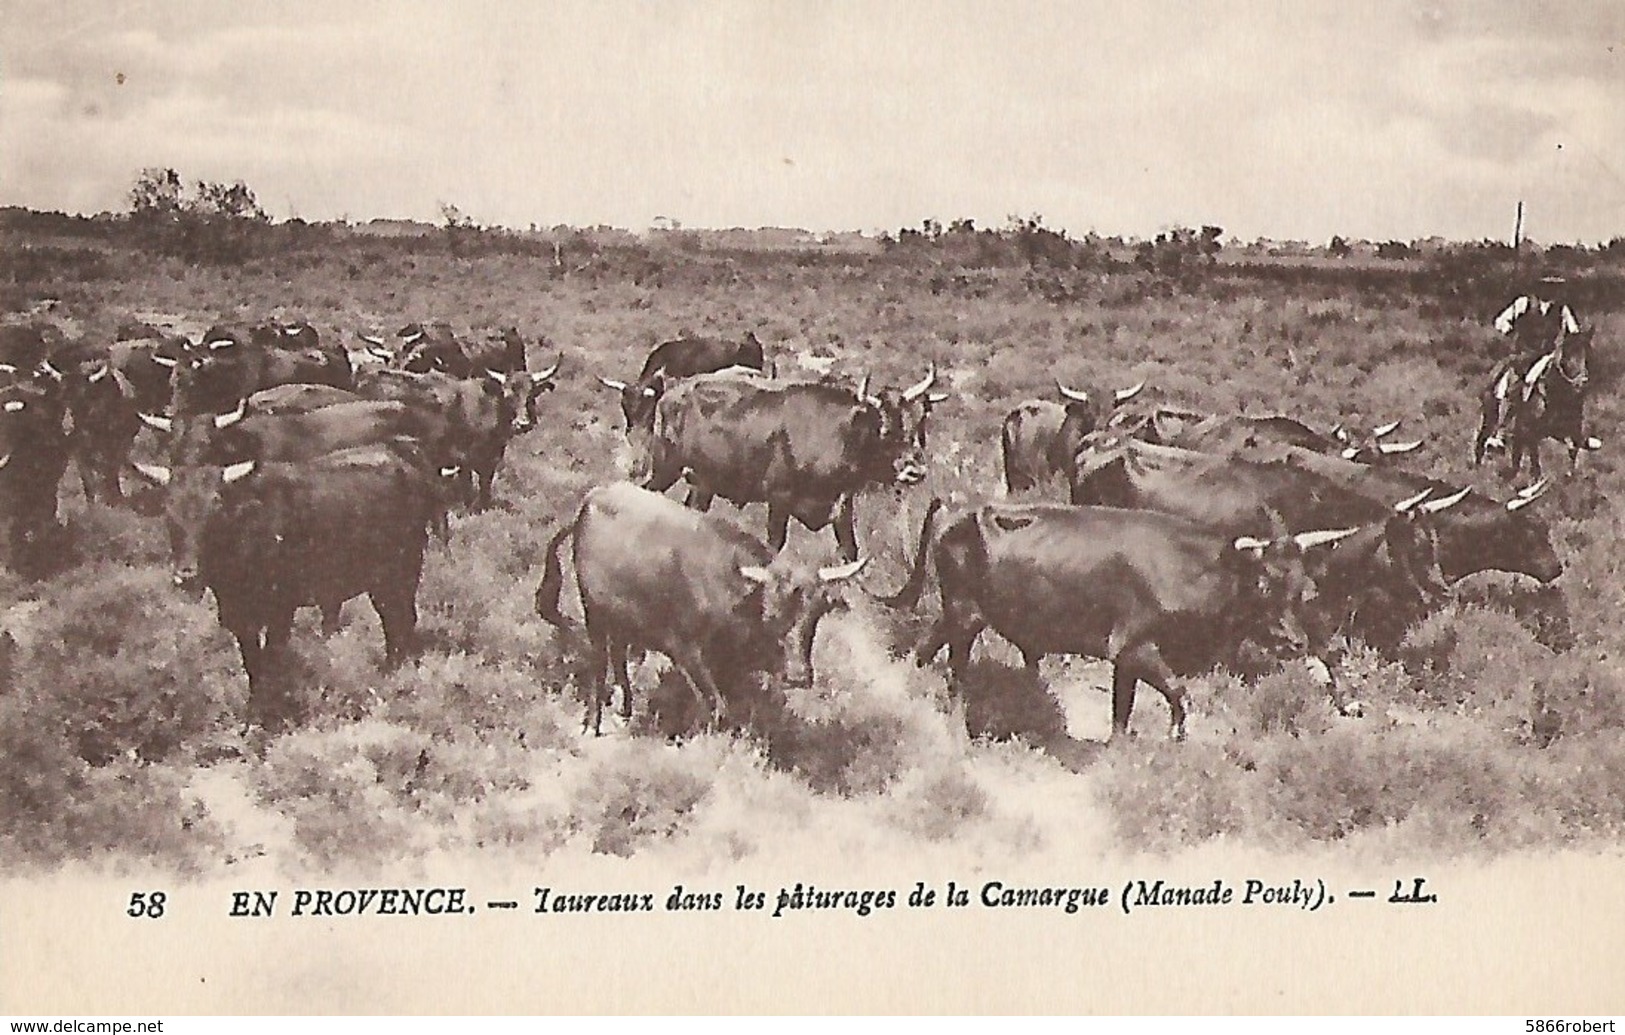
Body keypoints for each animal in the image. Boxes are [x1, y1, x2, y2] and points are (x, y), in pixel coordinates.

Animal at [533, 480, 864, 731]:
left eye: (817, 614)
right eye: (772, 610)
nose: (798, 674)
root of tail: (594, 497)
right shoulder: (687, 651)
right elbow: (717, 708)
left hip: (624, 620)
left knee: (618, 656)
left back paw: (625, 709)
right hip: (594, 614)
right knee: (600, 664)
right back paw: (593, 722)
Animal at [630, 367, 942, 562]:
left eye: (914, 426)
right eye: (884, 431)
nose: (914, 470)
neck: (837, 433)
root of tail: (672, 394)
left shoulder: (842, 506)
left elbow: (850, 551)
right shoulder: (779, 500)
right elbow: (774, 546)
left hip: (702, 484)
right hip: (666, 468)